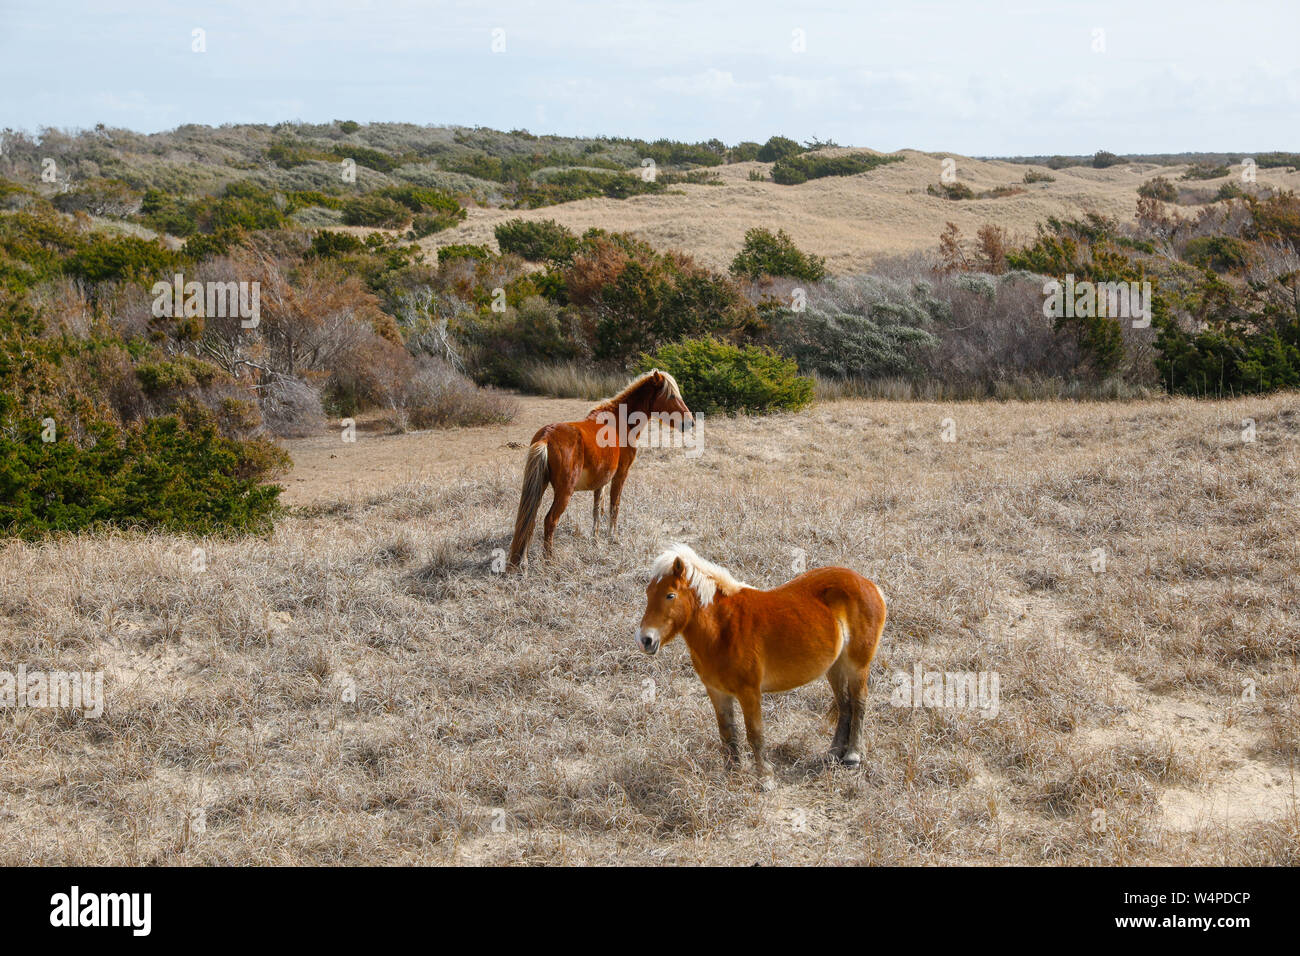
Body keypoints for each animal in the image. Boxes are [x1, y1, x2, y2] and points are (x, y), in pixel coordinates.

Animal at [504, 369, 691, 567]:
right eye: (671, 396)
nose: (690, 422)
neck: (620, 422)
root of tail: (546, 437)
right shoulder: (620, 475)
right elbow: (614, 506)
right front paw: (613, 538)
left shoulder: (601, 481)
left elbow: (597, 510)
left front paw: (596, 539)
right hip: (564, 492)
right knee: (550, 520)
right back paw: (549, 560)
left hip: (539, 487)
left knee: (529, 520)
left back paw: (523, 563)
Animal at [637, 541, 889, 790]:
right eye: (648, 593)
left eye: (670, 595)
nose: (645, 640)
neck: (724, 629)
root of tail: (869, 585)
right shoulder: (717, 692)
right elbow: (727, 733)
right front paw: (732, 775)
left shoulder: (749, 693)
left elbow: (755, 734)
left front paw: (765, 778)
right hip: (834, 668)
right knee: (845, 704)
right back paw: (834, 753)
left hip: (857, 665)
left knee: (859, 702)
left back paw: (853, 755)